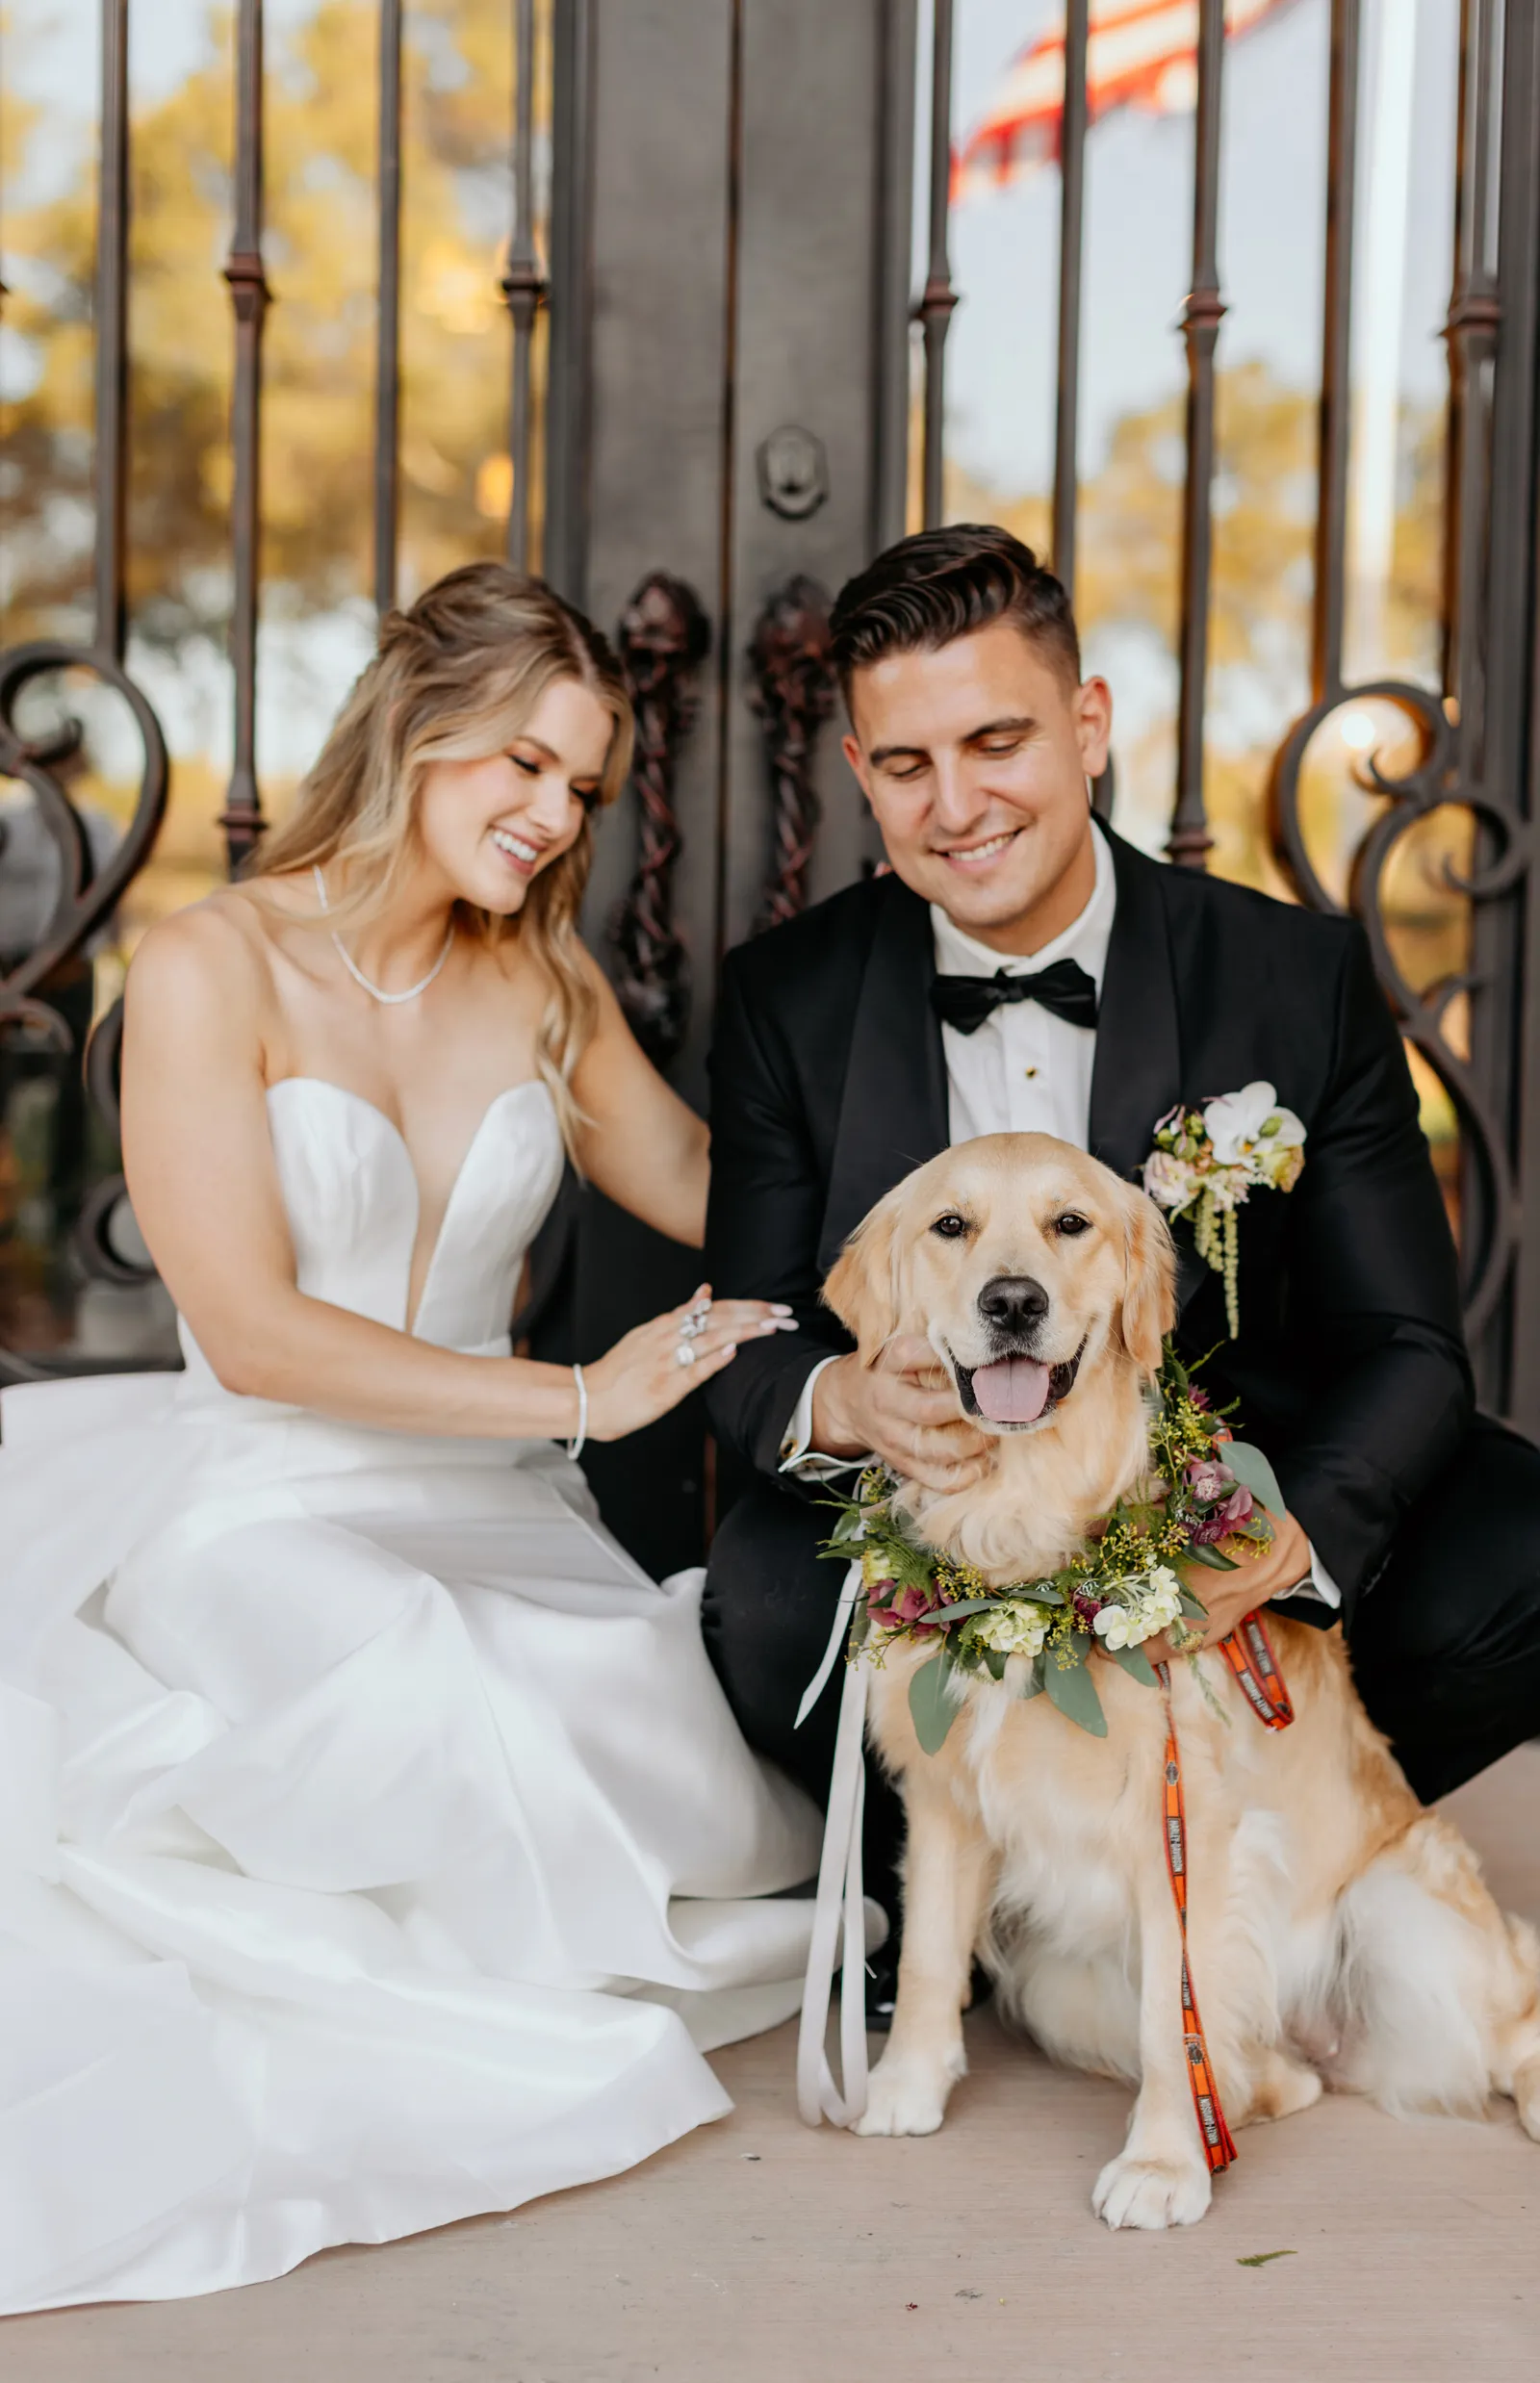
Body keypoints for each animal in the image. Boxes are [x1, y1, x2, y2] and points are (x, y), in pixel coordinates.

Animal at [824, 1124, 1540, 2220]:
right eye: (950, 1225)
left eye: (1069, 1222)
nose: (1012, 1303)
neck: (1020, 1546)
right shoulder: (944, 1792)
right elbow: (931, 1947)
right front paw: (905, 2084)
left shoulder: (1183, 1818)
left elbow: (1175, 2013)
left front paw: (1162, 2163)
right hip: (1058, 1982)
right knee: (1264, 2064)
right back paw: (1259, 2087)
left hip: (1399, 1917)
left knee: (1514, 2016)